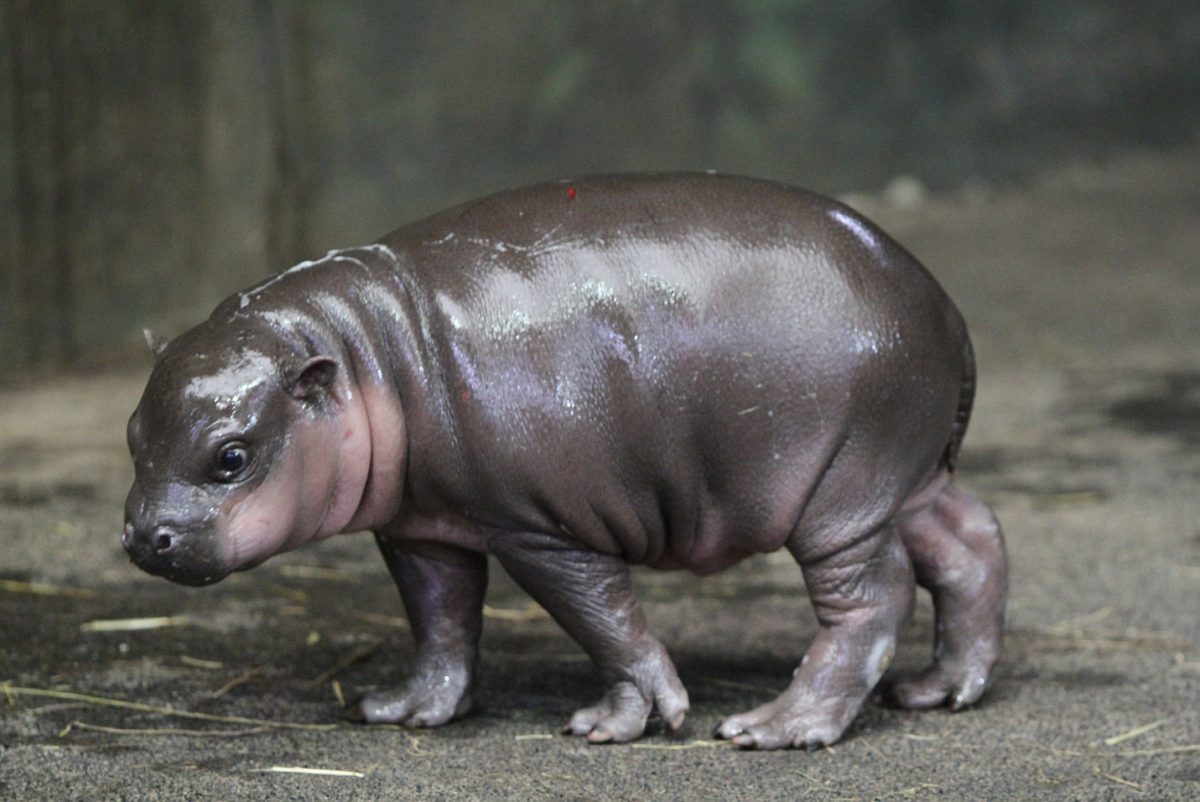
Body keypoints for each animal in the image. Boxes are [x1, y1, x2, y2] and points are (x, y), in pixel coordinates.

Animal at [121, 172, 1003, 749]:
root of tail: (948, 311)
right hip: (906, 475)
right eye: (131, 433)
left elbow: (603, 620)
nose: (143, 537)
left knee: (875, 598)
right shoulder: (422, 523)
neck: (371, 353)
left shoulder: (541, 530)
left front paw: (614, 724)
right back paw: (940, 691)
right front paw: (402, 709)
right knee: (972, 543)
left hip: (843, 490)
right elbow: (440, 618)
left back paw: (774, 729)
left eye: (231, 456)